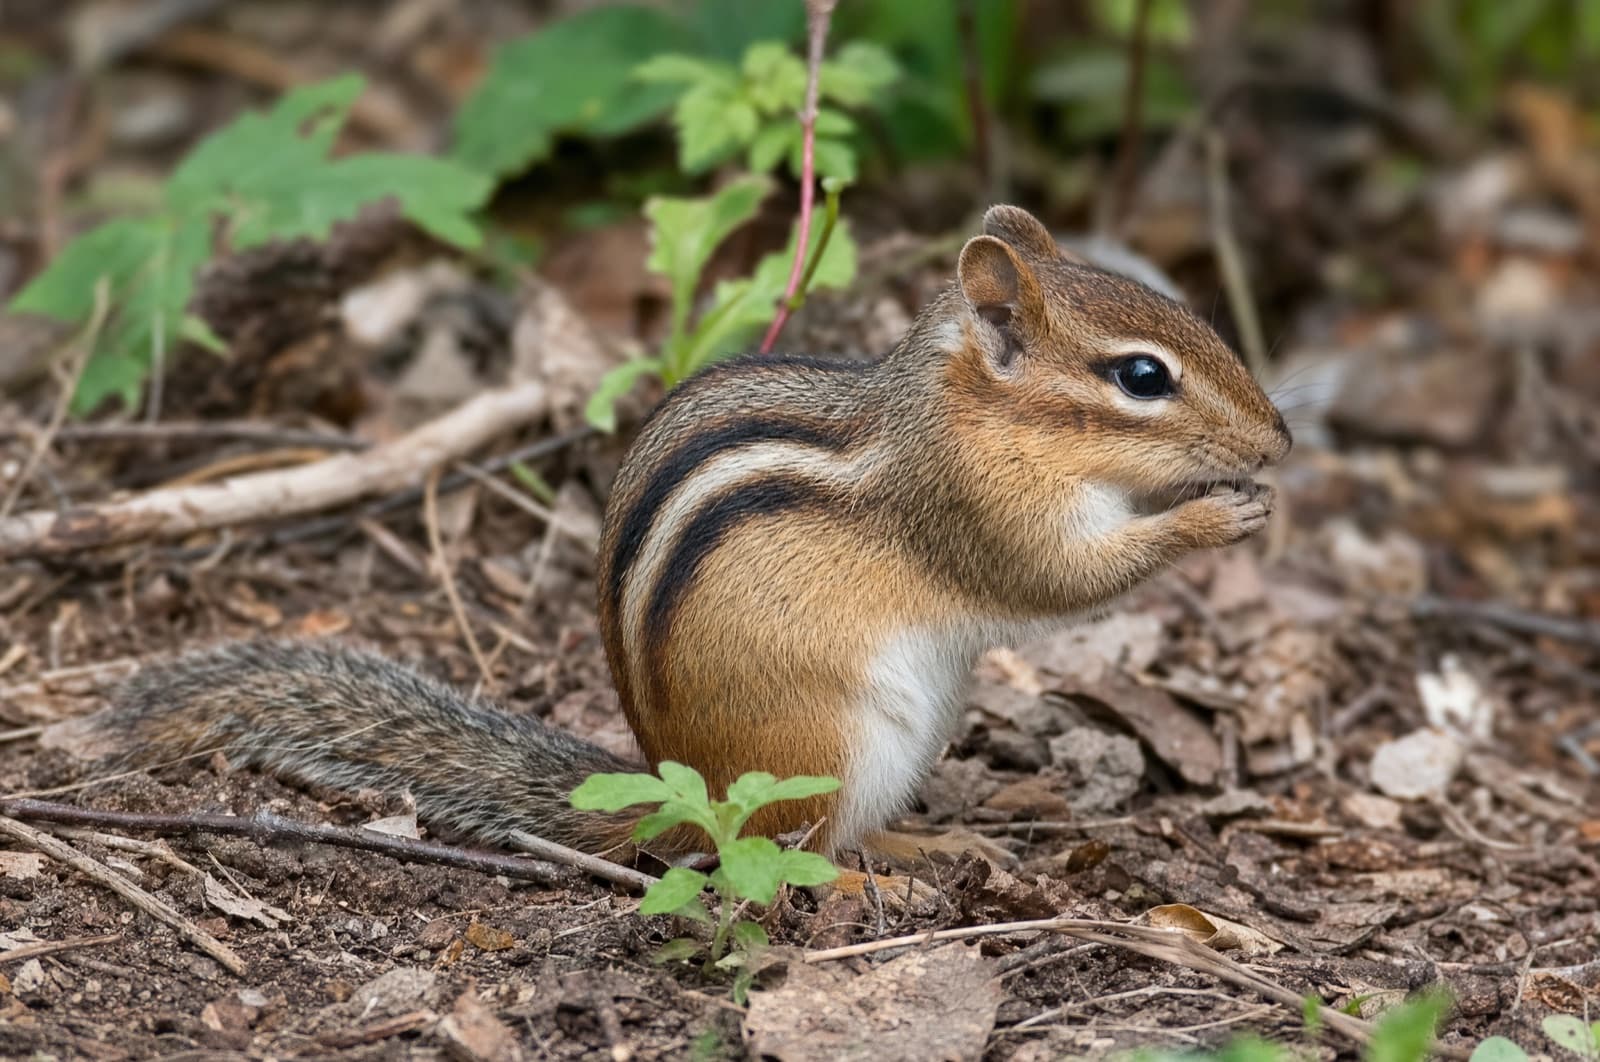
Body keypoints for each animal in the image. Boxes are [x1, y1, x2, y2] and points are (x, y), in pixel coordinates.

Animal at [97, 205, 1291, 862]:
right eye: (1142, 377)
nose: (1278, 440)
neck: (965, 410)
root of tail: (684, 795)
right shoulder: (978, 509)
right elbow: (1061, 579)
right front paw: (1214, 513)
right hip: (828, 746)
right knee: (799, 853)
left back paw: (944, 833)